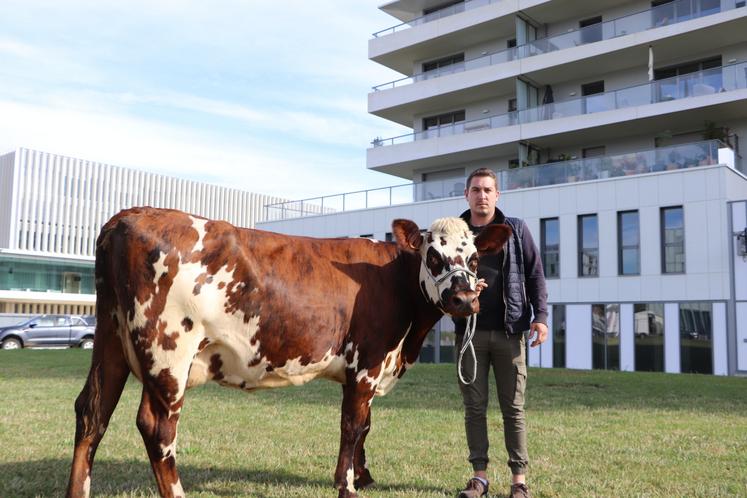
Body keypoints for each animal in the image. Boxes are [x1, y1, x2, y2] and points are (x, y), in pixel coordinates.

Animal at [65, 206, 508, 498]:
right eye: (433, 255)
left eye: (473, 259)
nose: (465, 298)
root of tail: (126, 218)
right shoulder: (366, 362)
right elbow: (352, 426)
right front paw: (347, 486)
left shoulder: (364, 369)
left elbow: (364, 426)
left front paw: (363, 477)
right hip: (168, 353)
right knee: (156, 428)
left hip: (111, 339)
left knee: (92, 413)